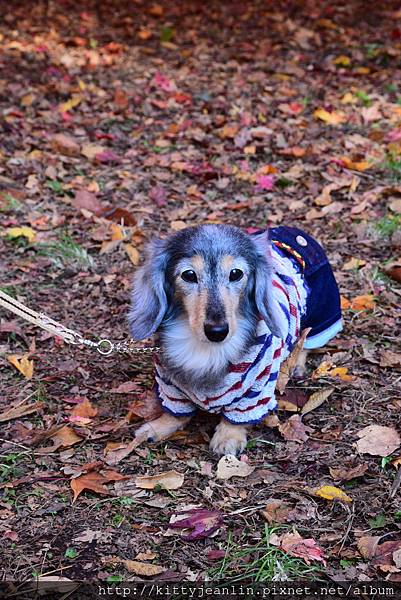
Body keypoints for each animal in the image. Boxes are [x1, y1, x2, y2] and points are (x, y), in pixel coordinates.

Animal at [128, 224, 340, 454]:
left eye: (236, 273)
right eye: (189, 275)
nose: (217, 331)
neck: (205, 349)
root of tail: (295, 231)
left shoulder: (256, 388)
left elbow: (237, 415)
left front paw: (228, 437)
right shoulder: (170, 384)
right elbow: (174, 413)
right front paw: (157, 427)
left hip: (322, 312)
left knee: (306, 338)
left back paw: (297, 364)